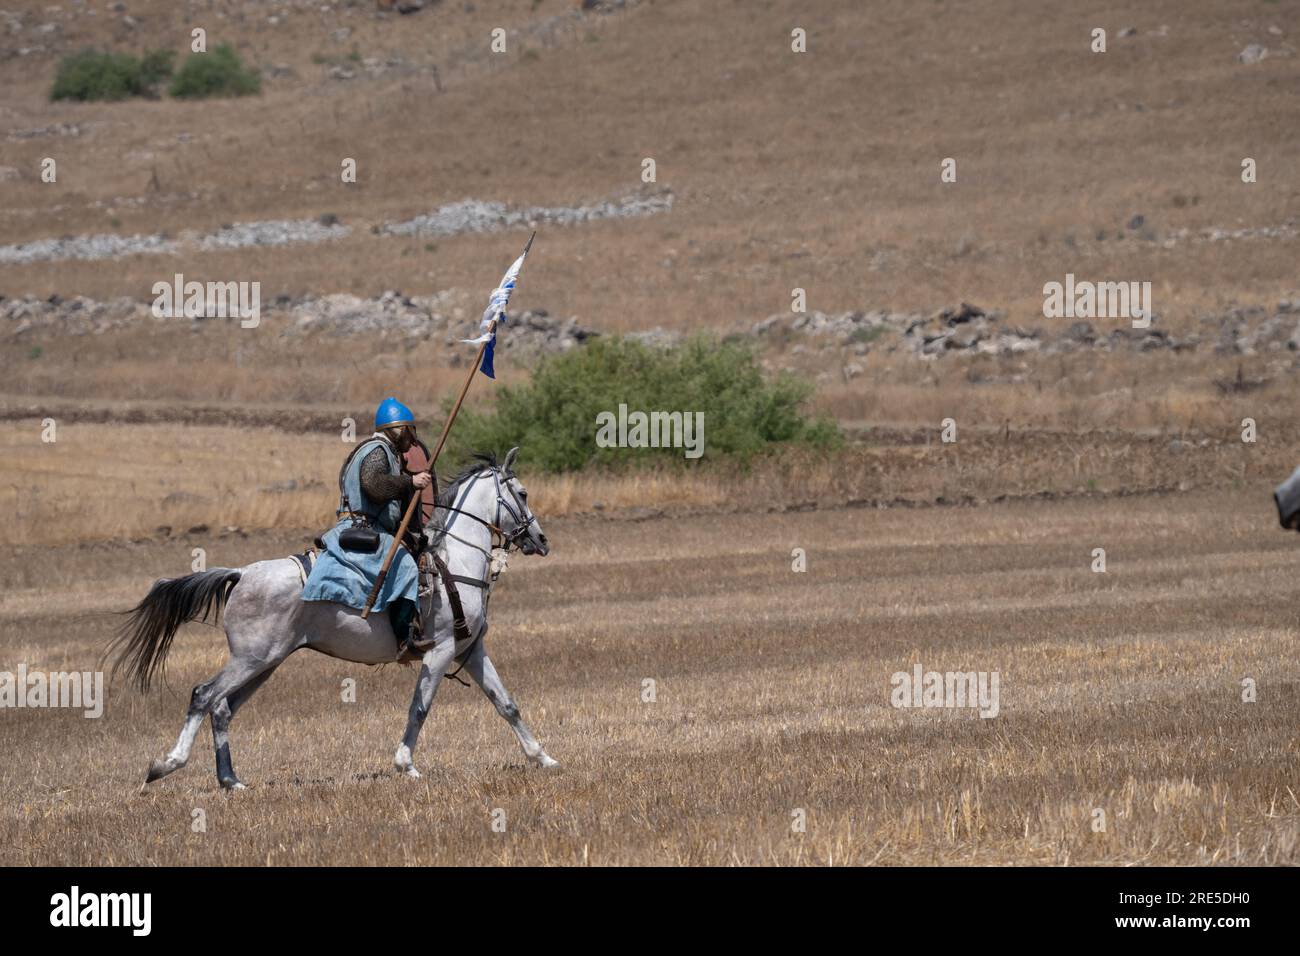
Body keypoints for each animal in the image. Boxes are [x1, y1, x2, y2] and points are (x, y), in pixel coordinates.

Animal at [109, 444, 556, 790]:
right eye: (522, 492)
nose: (541, 540)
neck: (455, 564)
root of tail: (240, 574)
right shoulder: (440, 650)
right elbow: (420, 708)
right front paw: (406, 766)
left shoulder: (470, 649)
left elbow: (506, 704)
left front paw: (543, 758)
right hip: (251, 660)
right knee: (203, 695)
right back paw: (167, 765)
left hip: (264, 663)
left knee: (221, 708)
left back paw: (231, 781)